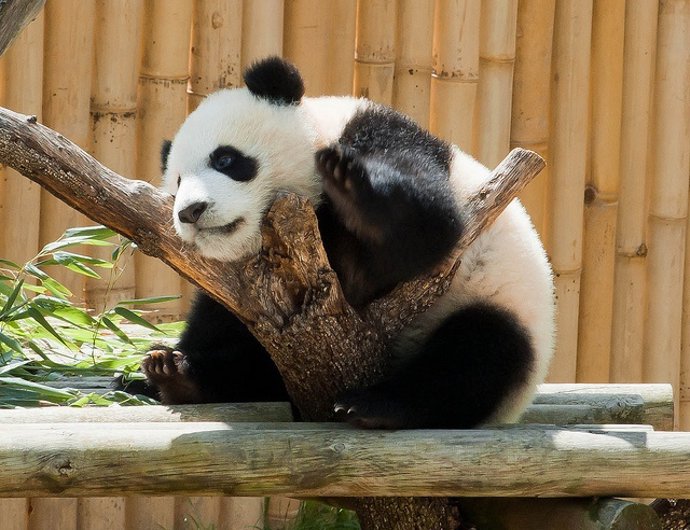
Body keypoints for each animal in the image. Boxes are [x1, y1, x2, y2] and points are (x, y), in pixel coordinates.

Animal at [137, 56, 555, 430]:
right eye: (177, 183)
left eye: (225, 159)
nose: (191, 211)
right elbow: (217, 317)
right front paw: (159, 369)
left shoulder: (385, 136)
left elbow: (428, 227)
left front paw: (353, 186)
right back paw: (176, 375)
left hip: (499, 305)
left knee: (473, 355)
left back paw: (377, 405)